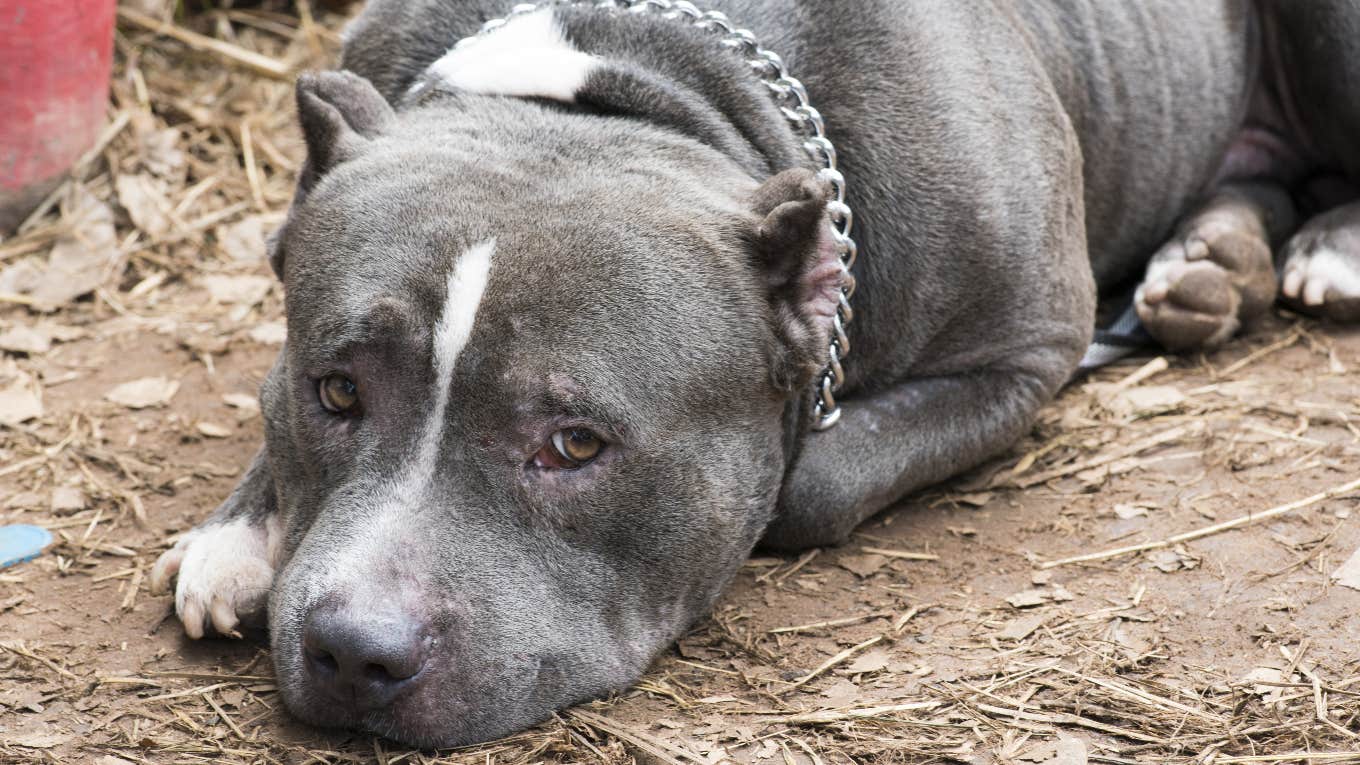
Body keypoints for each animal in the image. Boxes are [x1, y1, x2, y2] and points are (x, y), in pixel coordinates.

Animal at [146, 0, 1360, 745]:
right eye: (336, 391)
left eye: (575, 443)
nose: (356, 649)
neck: (629, 84)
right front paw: (239, 536)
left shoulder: (1022, 349)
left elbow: (804, 481)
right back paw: (1212, 267)